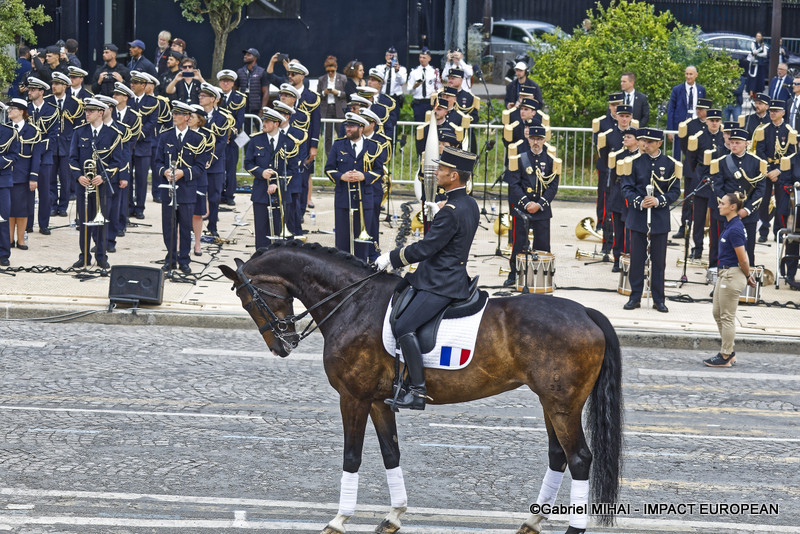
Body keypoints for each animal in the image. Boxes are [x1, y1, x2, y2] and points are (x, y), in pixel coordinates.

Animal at [220, 242, 624, 534]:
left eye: (248, 298)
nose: (282, 345)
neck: (353, 302)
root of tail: (587, 311)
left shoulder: (353, 397)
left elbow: (352, 457)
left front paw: (338, 520)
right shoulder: (378, 400)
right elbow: (391, 453)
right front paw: (394, 516)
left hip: (563, 404)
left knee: (579, 459)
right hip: (550, 402)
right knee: (559, 456)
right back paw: (532, 521)